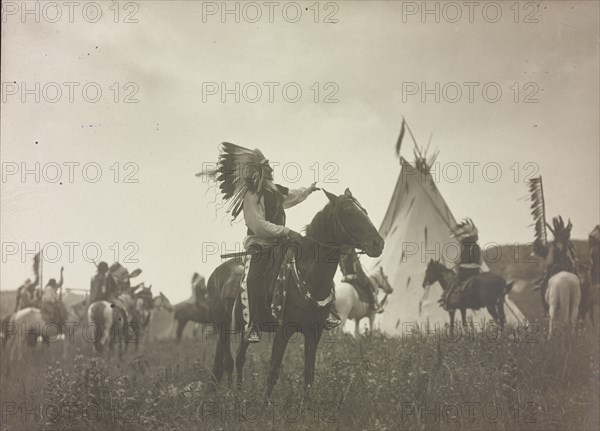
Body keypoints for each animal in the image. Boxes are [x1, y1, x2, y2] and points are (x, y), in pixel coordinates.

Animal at [206, 190, 384, 402]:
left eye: (364, 210)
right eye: (348, 211)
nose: (378, 243)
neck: (309, 275)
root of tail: (215, 275)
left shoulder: (314, 333)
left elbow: (309, 374)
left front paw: (305, 406)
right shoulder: (283, 331)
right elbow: (273, 372)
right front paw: (265, 405)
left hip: (242, 330)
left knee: (237, 359)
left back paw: (238, 394)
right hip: (224, 327)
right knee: (228, 361)